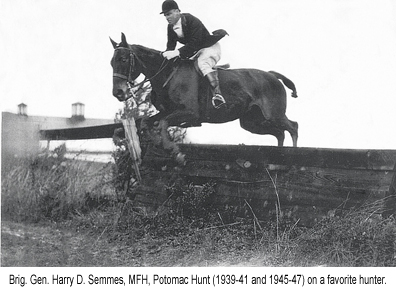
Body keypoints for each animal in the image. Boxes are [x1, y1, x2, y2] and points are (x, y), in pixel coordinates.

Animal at [110, 33, 296, 163]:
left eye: (124, 59)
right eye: (112, 63)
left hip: (274, 115)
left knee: (293, 127)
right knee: (280, 133)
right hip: (252, 122)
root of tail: (272, 75)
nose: (118, 93)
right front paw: (158, 143)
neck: (168, 75)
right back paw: (280, 154)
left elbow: (162, 123)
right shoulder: (168, 112)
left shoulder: (190, 113)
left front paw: (175, 151)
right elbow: (147, 122)